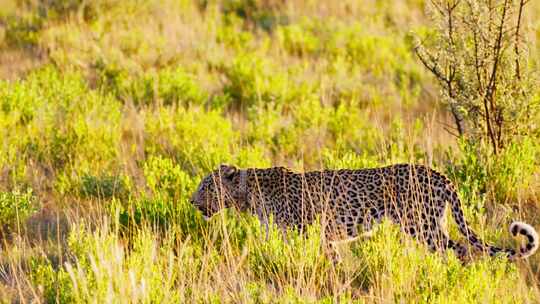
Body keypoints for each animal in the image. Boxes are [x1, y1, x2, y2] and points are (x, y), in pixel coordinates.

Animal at [190, 163, 536, 260]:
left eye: (206, 185)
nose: (192, 202)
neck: (248, 193)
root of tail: (440, 174)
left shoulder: (304, 232)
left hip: (421, 226)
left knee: (458, 249)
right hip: (430, 225)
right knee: (459, 248)